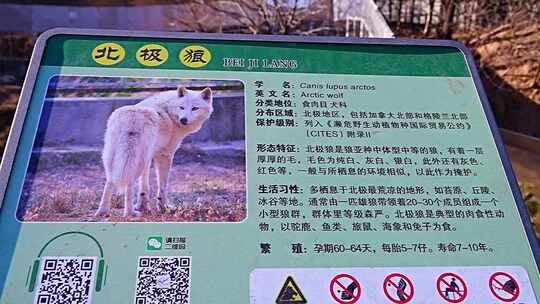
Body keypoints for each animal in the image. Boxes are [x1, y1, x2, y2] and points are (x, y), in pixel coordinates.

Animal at [95, 85, 213, 217]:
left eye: (195, 108)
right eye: (181, 107)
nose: (183, 120)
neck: (169, 112)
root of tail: (131, 117)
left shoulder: (149, 157)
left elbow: (143, 187)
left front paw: (142, 207)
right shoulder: (165, 155)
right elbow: (162, 186)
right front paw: (163, 208)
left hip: (115, 160)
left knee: (110, 182)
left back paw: (102, 211)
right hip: (135, 162)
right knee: (129, 183)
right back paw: (130, 213)